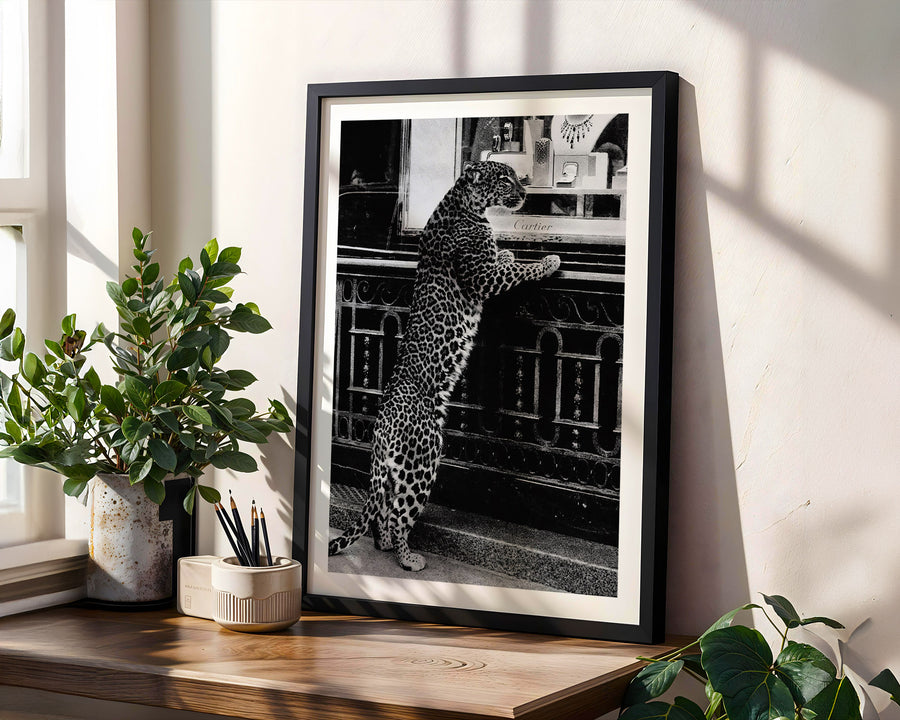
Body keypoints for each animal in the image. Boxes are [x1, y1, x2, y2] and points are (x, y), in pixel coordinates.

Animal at [329, 160, 561, 571]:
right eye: (505, 179)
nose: (525, 192)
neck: (466, 204)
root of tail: (380, 429)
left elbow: (503, 261)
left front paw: (507, 253)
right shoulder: (483, 276)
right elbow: (518, 272)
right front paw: (545, 262)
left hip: (395, 470)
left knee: (385, 512)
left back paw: (386, 545)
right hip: (421, 461)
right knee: (400, 514)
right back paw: (409, 558)